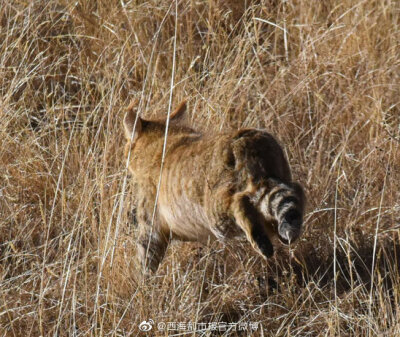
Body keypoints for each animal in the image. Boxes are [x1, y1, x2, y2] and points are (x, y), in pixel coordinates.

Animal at [123, 98, 304, 272]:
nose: (125, 153)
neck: (159, 140)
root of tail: (247, 139)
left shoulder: (151, 226)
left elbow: (145, 258)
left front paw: (141, 281)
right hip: (277, 184)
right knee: (296, 192)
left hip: (216, 215)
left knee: (239, 203)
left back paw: (262, 244)